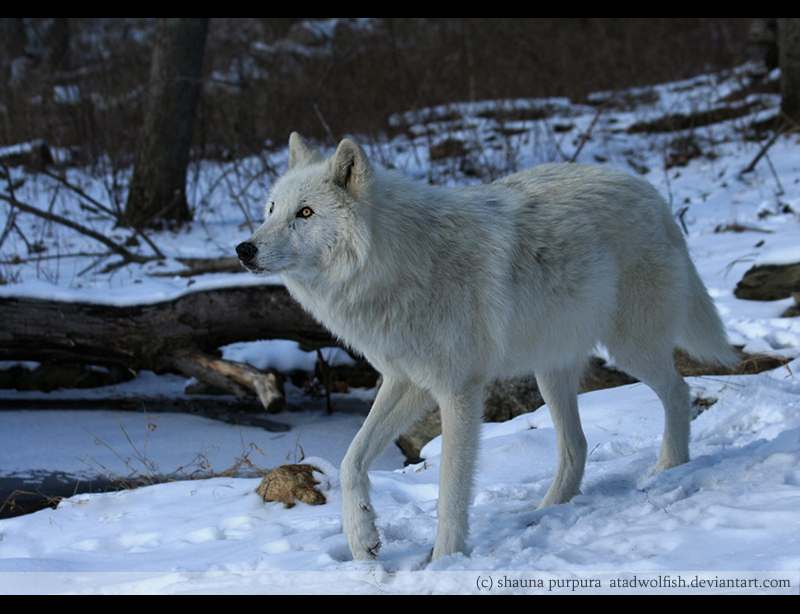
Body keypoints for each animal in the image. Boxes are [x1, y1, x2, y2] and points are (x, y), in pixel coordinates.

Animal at [234, 134, 736, 564]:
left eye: (305, 213)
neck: (398, 264)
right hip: (550, 370)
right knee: (576, 445)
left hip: (630, 349)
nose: (244, 249)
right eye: (272, 209)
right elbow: (350, 460)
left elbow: (451, 491)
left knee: (679, 391)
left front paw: (444, 560)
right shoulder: (407, 382)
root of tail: (652, 194)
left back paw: (670, 468)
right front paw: (363, 541)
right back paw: (544, 512)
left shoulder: (459, 390)